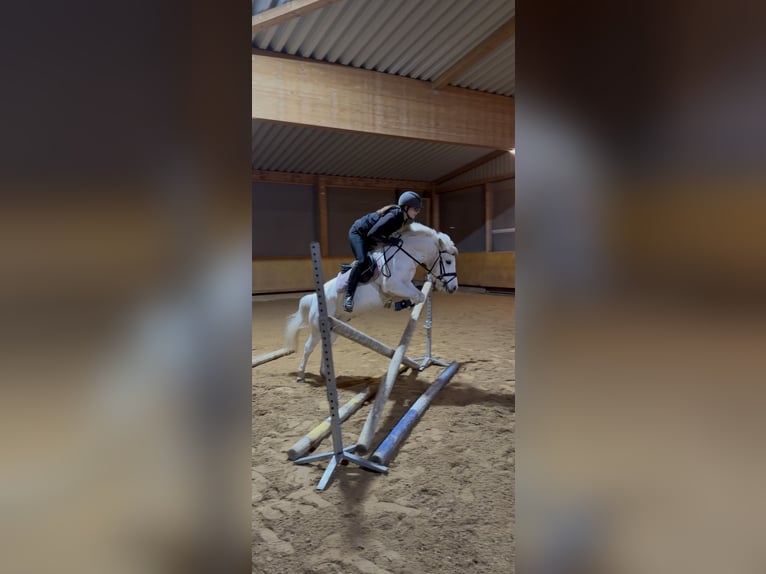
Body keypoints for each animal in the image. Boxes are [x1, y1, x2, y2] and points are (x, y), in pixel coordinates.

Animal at [284, 222, 459, 381]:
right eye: (448, 261)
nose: (454, 287)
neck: (406, 255)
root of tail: (314, 298)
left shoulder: (406, 284)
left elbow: (419, 295)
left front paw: (403, 304)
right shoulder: (393, 284)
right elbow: (419, 296)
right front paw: (400, 304)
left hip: (334, 327)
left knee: (326, 346)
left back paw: (325, 373)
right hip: (317, 327)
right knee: (308, 347)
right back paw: (301, 374)